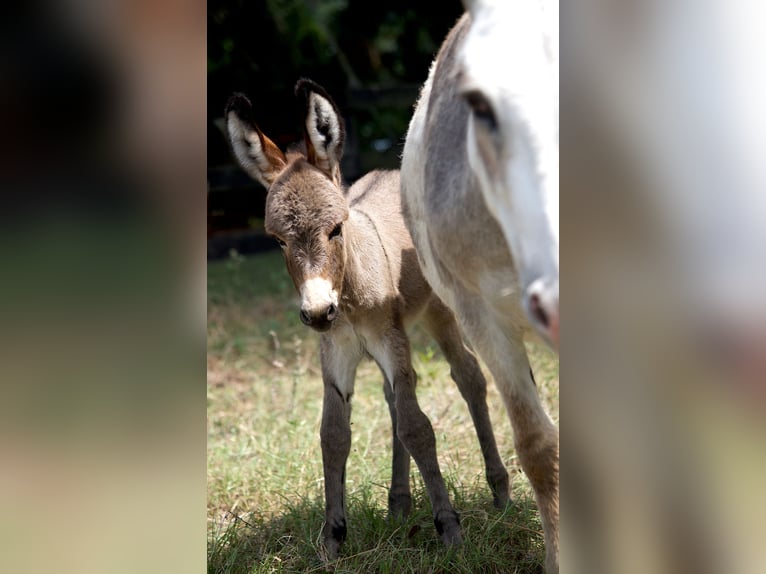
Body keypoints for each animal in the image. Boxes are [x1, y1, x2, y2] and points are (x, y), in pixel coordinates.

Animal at [224, 79, 510, 560]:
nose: (318, 311)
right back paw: (399, 503)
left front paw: (449, 529)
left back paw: (499, 490)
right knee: (395, 397)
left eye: (336, 229)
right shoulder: (337, 350)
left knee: (468, 375)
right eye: (277, 240)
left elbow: (418, 427)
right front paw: (332, 539)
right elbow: (334, 434)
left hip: (438, 312)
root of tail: (393, 172)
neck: (349, 295)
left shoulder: (389, 339)